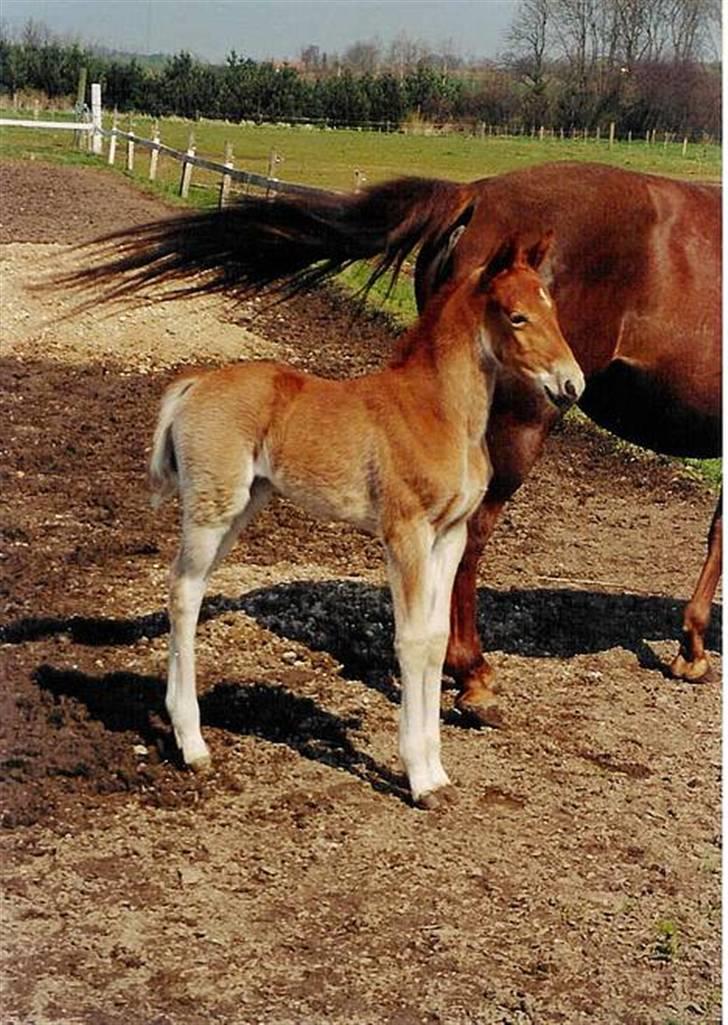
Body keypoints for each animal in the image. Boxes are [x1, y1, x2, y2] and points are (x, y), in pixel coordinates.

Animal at [64, 159, 725, 721]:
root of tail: (476, 191)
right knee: (473, 539)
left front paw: (690, 642)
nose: (571, 379)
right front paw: (694, 646)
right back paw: (473, 677)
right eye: (522, 314)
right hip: (522, 424)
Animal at [150, 234, 586, 807]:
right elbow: (412, 641)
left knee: (193, 589)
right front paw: (420, 780)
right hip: (212, 506)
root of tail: (196, 383)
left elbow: (437, 639)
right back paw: (193, 745)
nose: (573, 384)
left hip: (242, 507)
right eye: (517, 317)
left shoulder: (449, 535)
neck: (441, 412)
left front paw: (439, 772)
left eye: (553, 309)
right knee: (181, 592)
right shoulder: (406, 533)